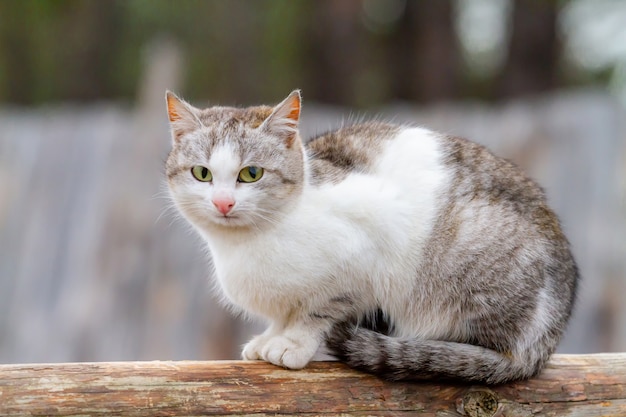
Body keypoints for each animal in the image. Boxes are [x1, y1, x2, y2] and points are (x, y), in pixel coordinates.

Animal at [163, 90, 576, 384]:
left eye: (251, 174)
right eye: (202, 173)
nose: (223, 202)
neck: (248, 243)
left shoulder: (368, 252)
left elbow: (318, 310)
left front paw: (294, 342)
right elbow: (286, 312)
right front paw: (271, 337)